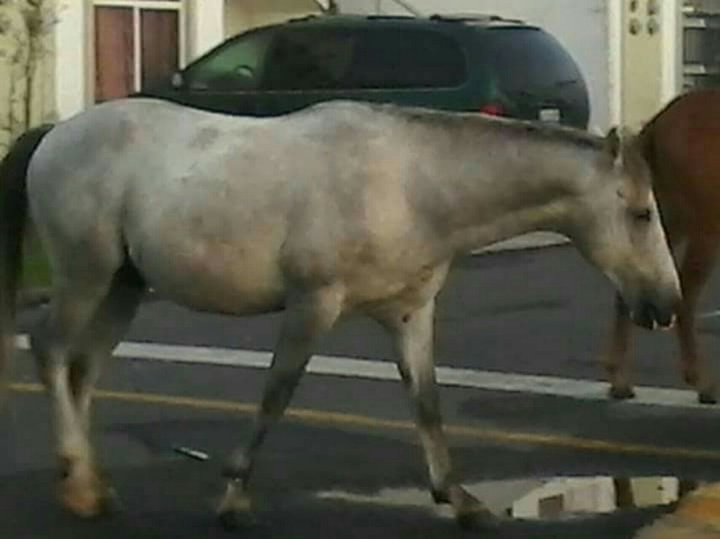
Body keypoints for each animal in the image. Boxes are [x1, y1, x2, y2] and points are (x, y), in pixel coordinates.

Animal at [0, 98, 680, 531]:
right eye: (642, 213)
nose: (667, 306)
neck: (411, 183)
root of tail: (56, 133)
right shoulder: (313, 303)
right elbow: (276, 394)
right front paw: (233, 499)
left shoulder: (409, 315)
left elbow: (427, 404)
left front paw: (460, 501)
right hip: (86, 276)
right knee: (52, 352)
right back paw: (80, 488)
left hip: (124, 286)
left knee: (83, 370)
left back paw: (89, 486)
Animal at [600, 88, 720, 405]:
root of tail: (657, 126)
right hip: (703, 226)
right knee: (687, 297)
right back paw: (703, 383)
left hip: (663, 216)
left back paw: (619, 381)